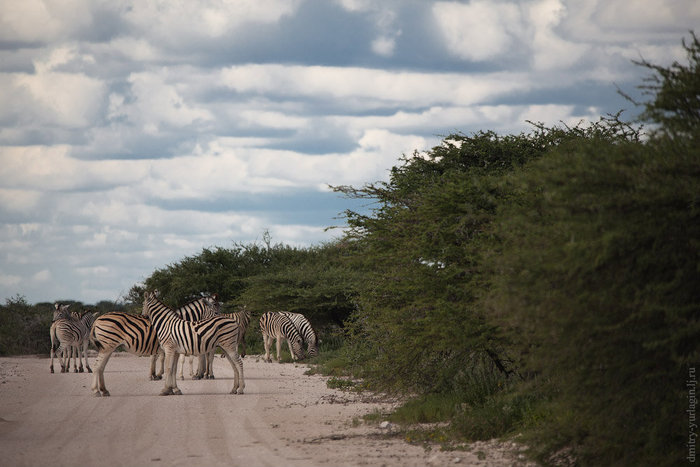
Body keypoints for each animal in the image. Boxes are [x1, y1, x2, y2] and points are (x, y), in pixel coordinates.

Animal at [89, 294, 219, 396]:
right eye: (216, 308)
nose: (220, 321)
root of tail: (98, 318)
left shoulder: (175, 350)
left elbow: (172, 368)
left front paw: (173, 389)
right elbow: (170, 368)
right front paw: (171, 388)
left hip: (109, 347)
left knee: (101, 367)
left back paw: (104, 391)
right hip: (107, 346)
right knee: (97, 366)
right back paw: (96, 391)